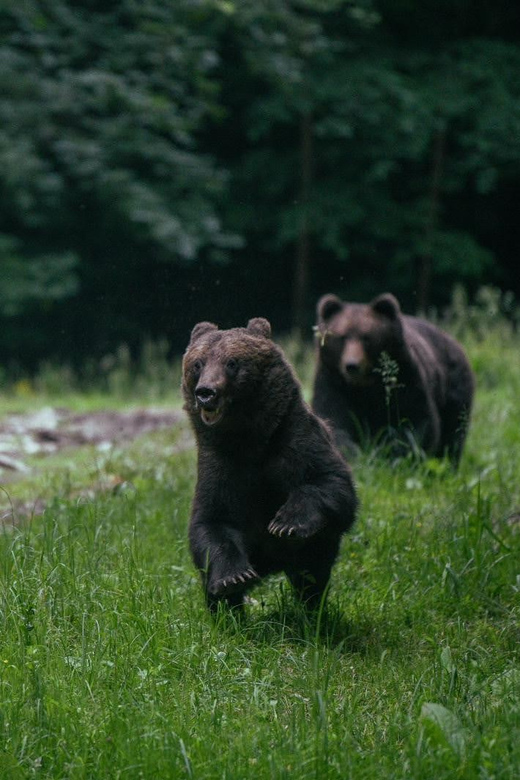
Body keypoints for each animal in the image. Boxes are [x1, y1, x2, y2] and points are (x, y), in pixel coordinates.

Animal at [182, 316, 358, 608]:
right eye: (198, 363)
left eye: (232, 362)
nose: (206, 392)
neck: (249, 439)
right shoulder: (219, 463)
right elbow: (211, 523)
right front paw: (232, 579)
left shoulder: (294, 437)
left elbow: (330, 483)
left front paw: (285, 523)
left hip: (312, 551)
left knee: (312, 572)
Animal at [312, 290, 476, 464]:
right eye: (342, 337)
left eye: (366, 337)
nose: (352, 365)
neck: (365, 385)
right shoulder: (333, 382)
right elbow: (334, 418)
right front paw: (354, 455)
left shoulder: (404, 376)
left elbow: (415, 420)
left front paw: (393, 455)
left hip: (454, 385)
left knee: (454, 431)